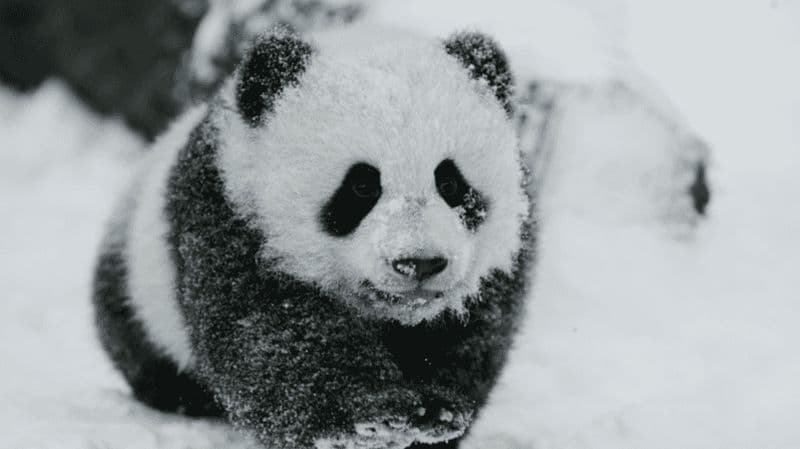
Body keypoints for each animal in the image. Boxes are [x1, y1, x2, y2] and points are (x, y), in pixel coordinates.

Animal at [93, 27, 533, 449]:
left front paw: (436, 411)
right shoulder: (228, 215)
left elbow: (471, 338)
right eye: (361, 186)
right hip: (137, 291)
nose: (419, 263)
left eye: (451, 182)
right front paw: (373, 414)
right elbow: (271, 335)